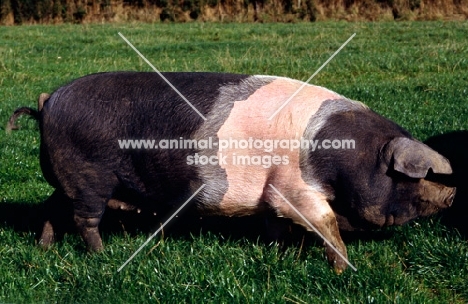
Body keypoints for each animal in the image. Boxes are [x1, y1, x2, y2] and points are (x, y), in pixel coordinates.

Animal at [8, 72, 454, 272]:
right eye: (411, 177)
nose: (451, 194)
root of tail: (47, 102)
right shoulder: (297, 188)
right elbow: (325, 223)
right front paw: (344, 269)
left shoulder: (273, 192)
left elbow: (277, 224)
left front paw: (278, 254)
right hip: (89, 178)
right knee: (85, 219)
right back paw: (103, 256)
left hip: (67, 180)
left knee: (51, 209)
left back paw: (44, 249)